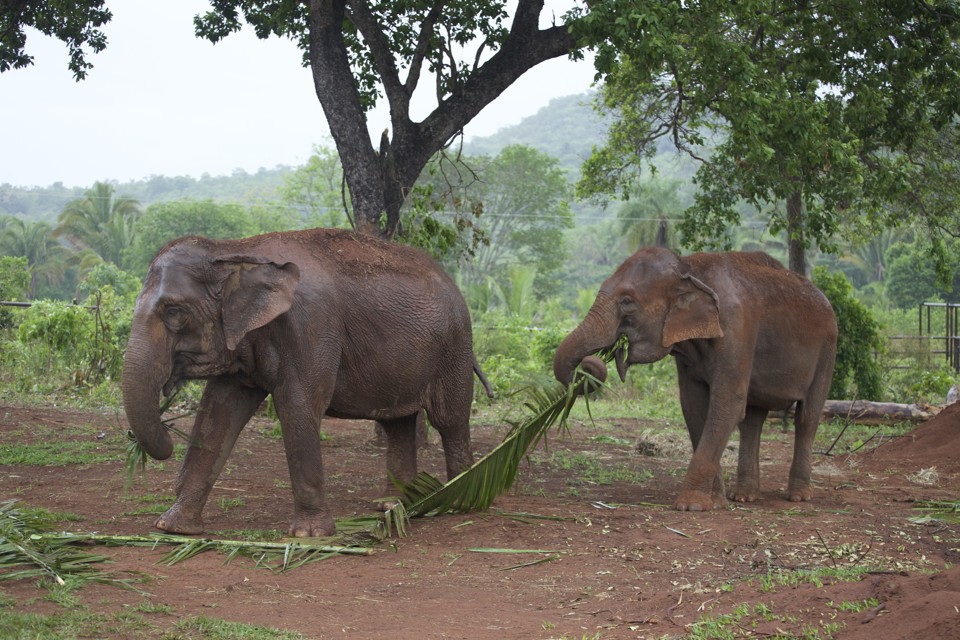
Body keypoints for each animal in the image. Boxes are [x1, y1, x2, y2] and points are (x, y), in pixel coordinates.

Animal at [122, 228, 487, 537]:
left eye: (173, 312)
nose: (168, 434)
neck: (235, 249)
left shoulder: (311, 325)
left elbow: (297, 406)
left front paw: (308, 535)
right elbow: (218, 413)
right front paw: (173, 527)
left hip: (454, 346)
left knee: (449, 420)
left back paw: (459, 501)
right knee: (398, 421)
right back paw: (393, 505)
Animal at [553, 247, 838, 511]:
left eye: (627, 301)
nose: (593, 364)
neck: (688, 267)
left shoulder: (737, 329)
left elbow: (727, 404)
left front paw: (691, 506)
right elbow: (693, 406)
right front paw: (716, 502)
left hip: (828, 350)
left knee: (807, 417)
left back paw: (798, 497)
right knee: (753, 421)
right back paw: (744, 497)